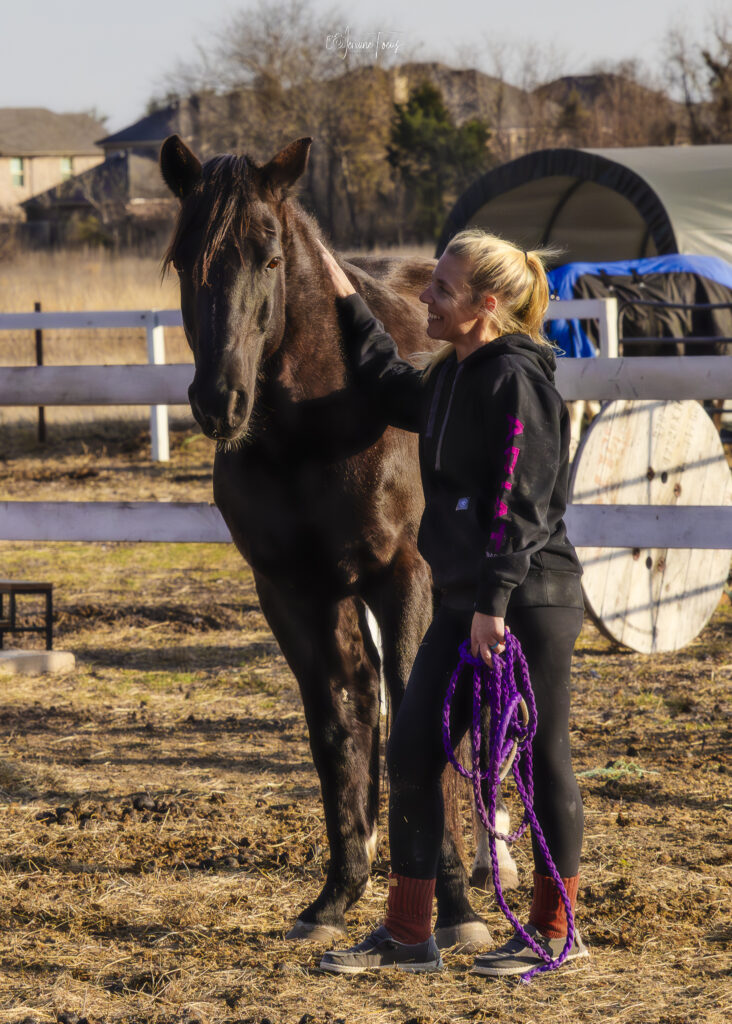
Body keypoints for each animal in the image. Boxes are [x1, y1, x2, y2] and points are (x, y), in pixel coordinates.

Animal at [159, 133, 517, 947]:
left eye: (269, 258)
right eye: (183, 258)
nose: (218, 400)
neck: (319, 422)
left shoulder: (408, 580)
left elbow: (425, 728)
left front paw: (454, 909)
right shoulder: (293, 592)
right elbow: (336, 722)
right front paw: (336, 896)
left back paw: (495, 862)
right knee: (372, 700)